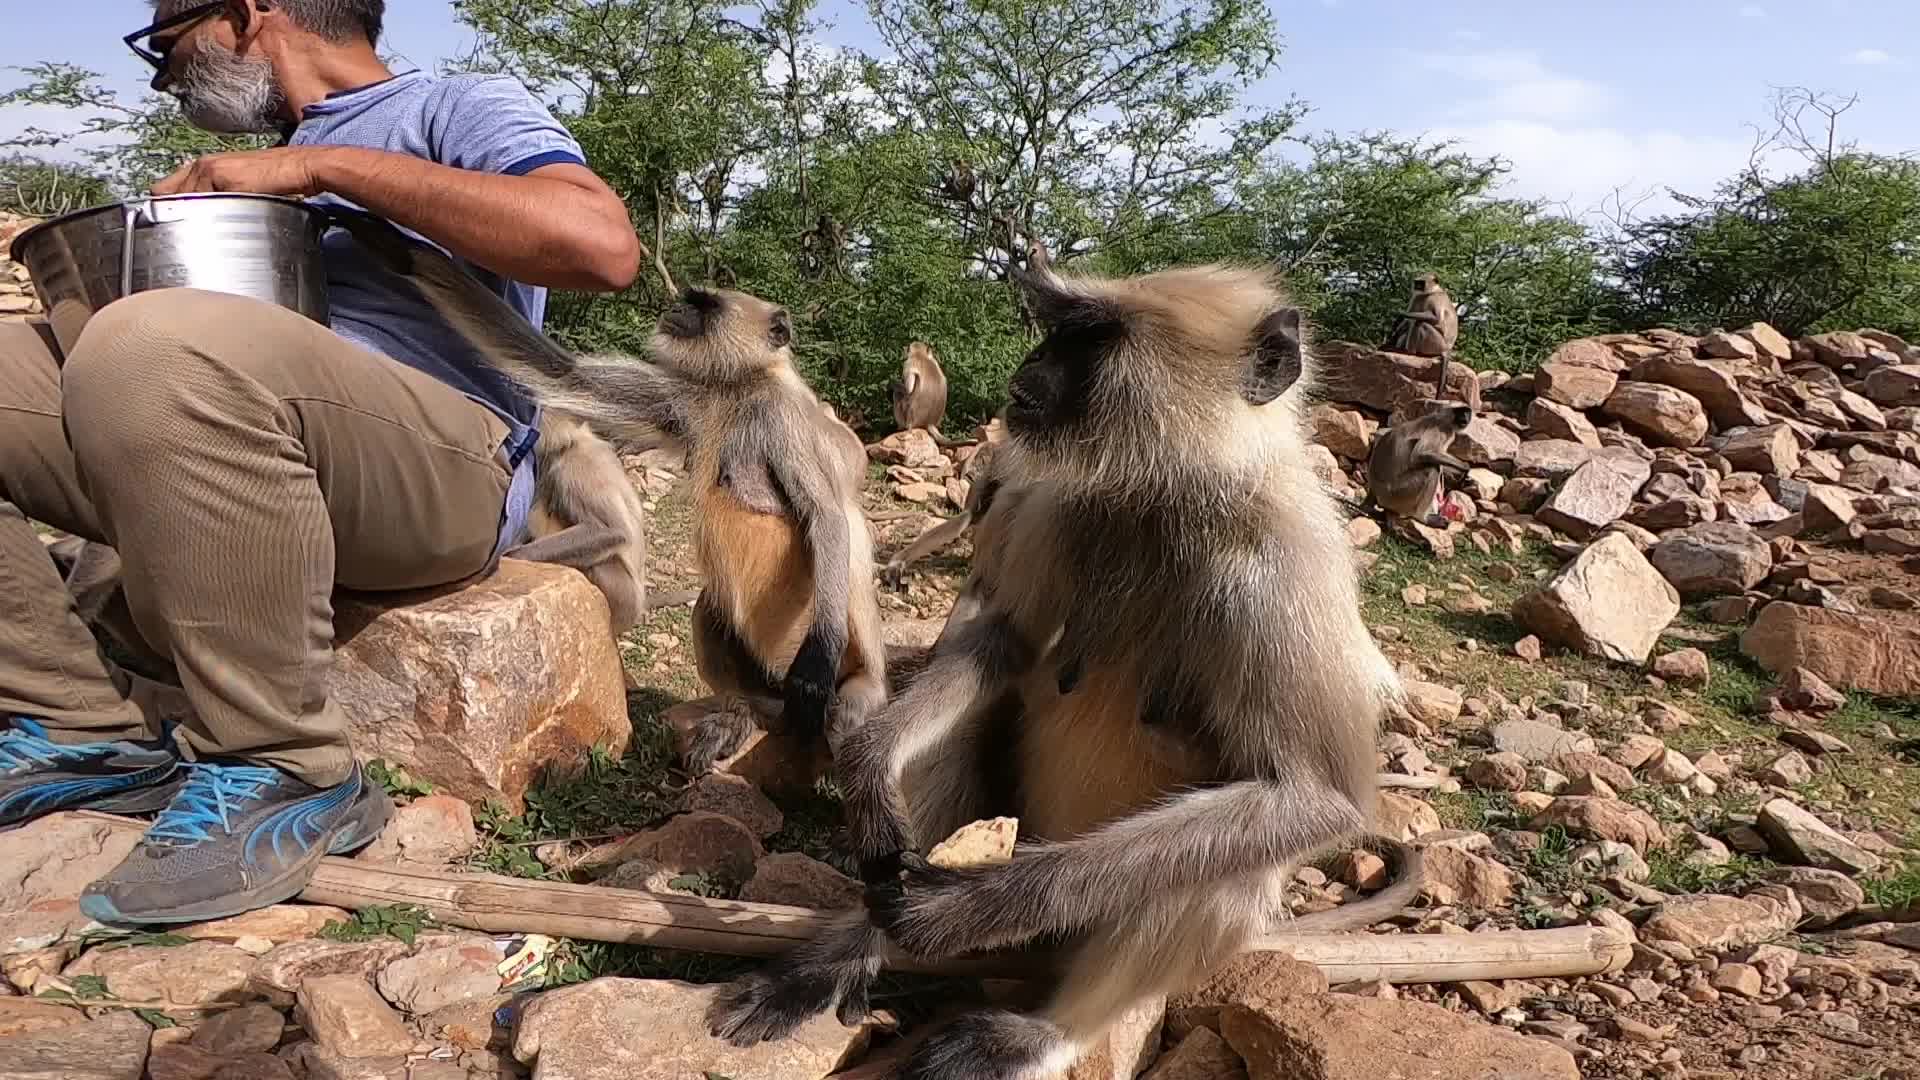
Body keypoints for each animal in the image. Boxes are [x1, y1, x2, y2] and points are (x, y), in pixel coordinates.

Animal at [324, 206, 888, 774]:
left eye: (704, 306)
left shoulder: (783, 415)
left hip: (852, 674)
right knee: (711, 612)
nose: (675, 308)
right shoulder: (683, 398)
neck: (735, 389)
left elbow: (826, 515)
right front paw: (394, 246)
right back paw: (744, 713)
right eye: (691, 300)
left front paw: (813, 667)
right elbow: (566, 373)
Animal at [708, 259, 1424, 1078]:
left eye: (1094, 339)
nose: (1030, 367)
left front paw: (964, 907)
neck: (1166, 496)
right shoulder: (1063, 506)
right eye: (1061, 331)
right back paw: (842, 955)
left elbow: (1318, 799)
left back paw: (1044, 1031)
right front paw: (867, 761)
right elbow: (1008, 642)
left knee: (1237, 854)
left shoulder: (1287, 568)